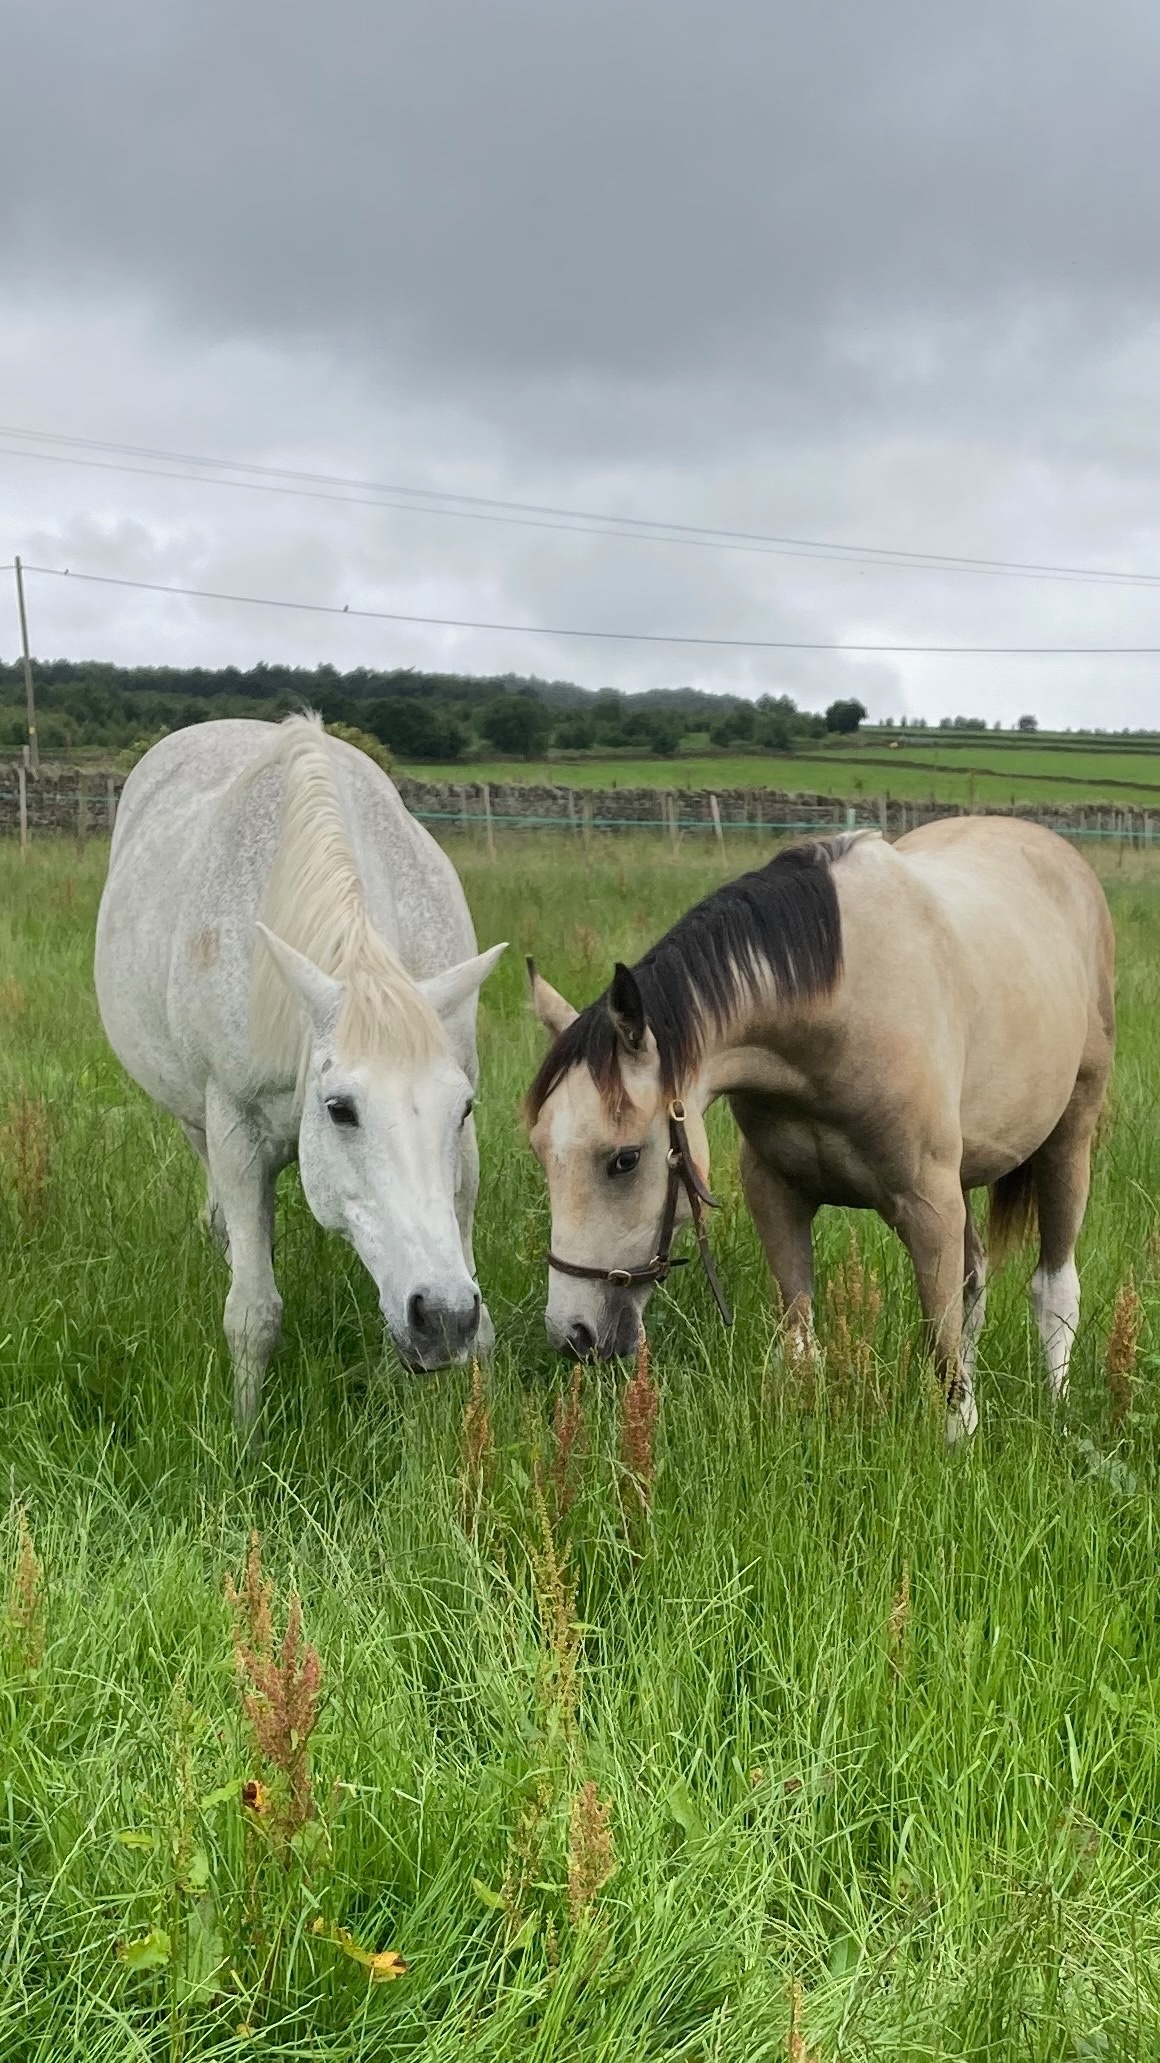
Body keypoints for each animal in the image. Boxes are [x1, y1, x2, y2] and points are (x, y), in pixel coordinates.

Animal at [95, 714, 505, 1435]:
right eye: (341, 1108)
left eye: (462, 1109)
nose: (442, 1317)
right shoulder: (233, 1130)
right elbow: (252, 1314)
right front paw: (245, 1439)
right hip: (196, 1121)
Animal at [525, 818, 1114, 1439]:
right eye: (540, 1150)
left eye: (625, 1159)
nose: (573, 1333)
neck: (838, 1014)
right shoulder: (778, 1194)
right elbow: (803, 1347)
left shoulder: (928, 1205)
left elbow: (944, 1350)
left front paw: (960, 1438)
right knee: (975, 1276)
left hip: (1068, 1139)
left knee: (1053, 1286)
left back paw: (1058, 1407)